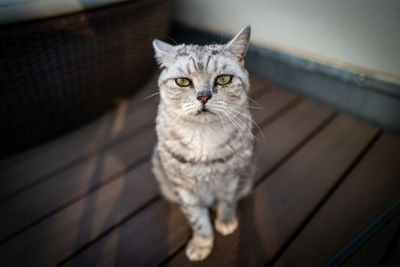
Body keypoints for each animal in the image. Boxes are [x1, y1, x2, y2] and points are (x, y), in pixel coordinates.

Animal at [152, 26, 255, 262]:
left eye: (224, 79)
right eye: (183, 82)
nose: (204, 97)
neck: (204, 138)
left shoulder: (234, 178)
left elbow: (227, 202)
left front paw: (225, 221)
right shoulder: (184, 189)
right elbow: (198, 221)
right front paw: (201, 244)